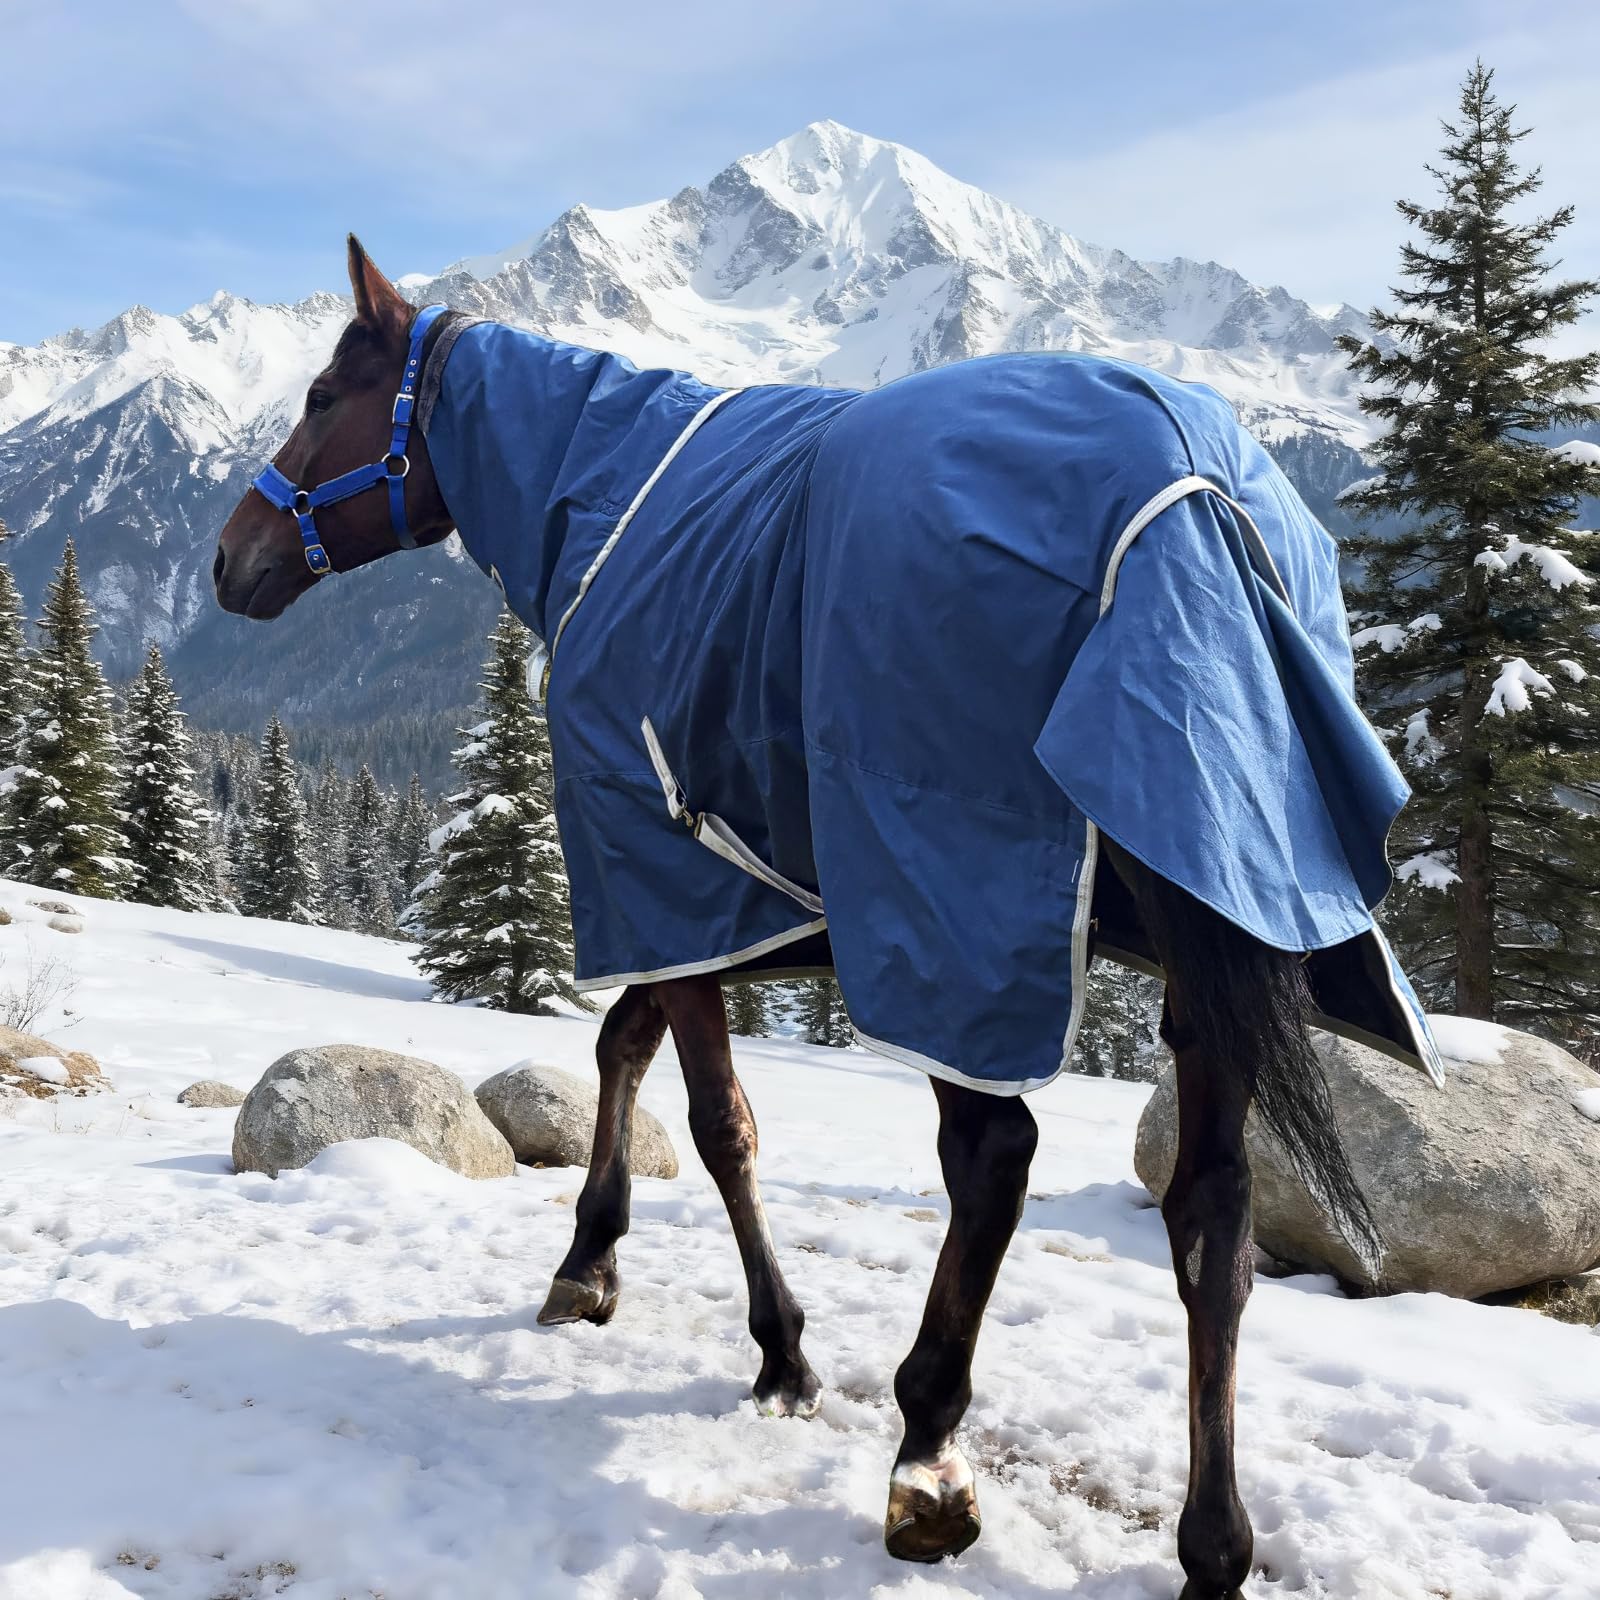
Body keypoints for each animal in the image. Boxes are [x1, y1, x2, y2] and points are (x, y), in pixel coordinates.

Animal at [215, 237, 1444, 1599]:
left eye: (324, 394)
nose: (228, 558)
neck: (597, 496)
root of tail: (1194, 493)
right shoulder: (724, 908)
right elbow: (623, 1045)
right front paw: (590, 1260)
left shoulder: (668, 871)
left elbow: (719, 1125)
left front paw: (780, 1349)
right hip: (1209, 917)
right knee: (1210, 1215)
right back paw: (1211, 1543)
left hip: (958, 922)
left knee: (995, 1157)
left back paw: (929, 1452)